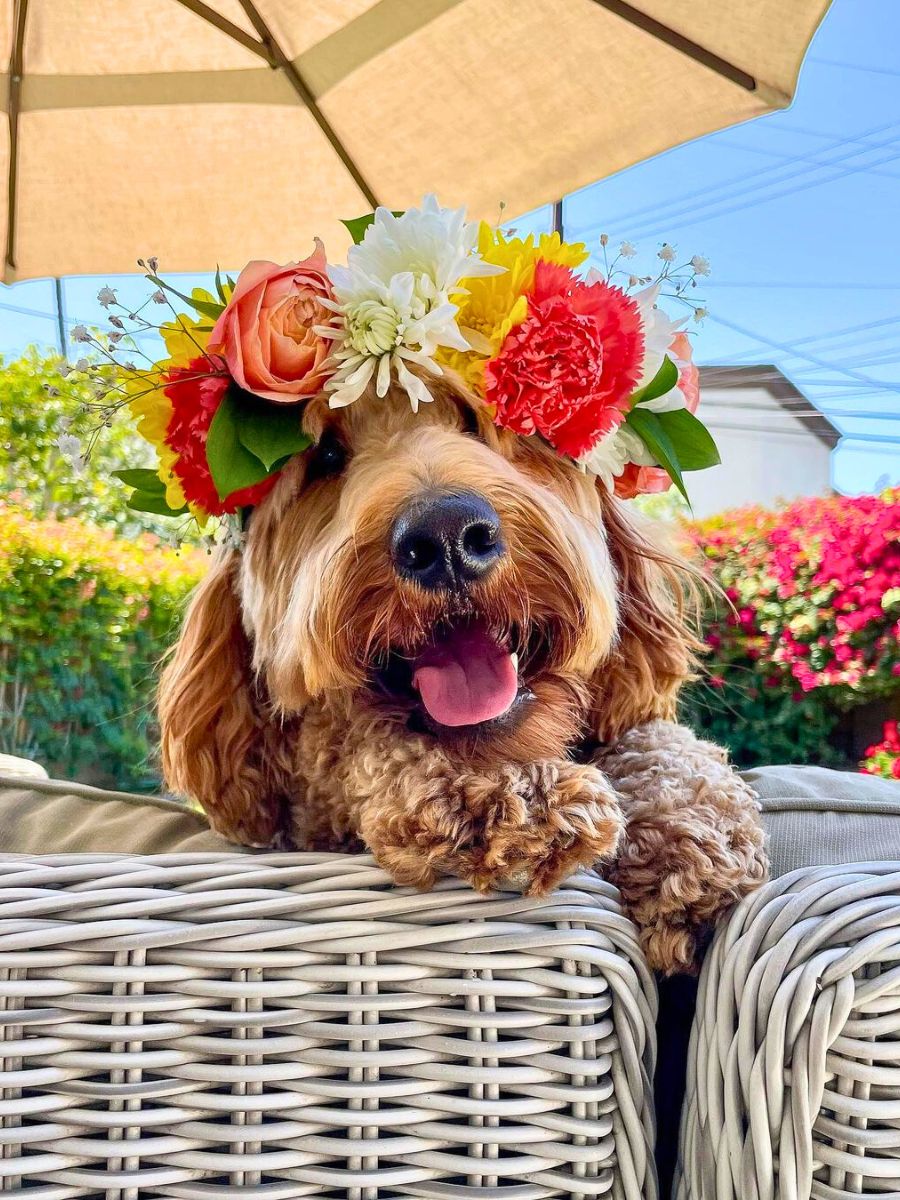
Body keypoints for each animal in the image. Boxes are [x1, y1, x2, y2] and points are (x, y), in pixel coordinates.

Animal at [158, 372, 772, 974]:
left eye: (482, 421)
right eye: (326, 455)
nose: (446, 535)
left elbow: (661, 740)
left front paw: (690, 837)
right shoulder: (319, 791)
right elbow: (356, 744)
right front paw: (507, 791)